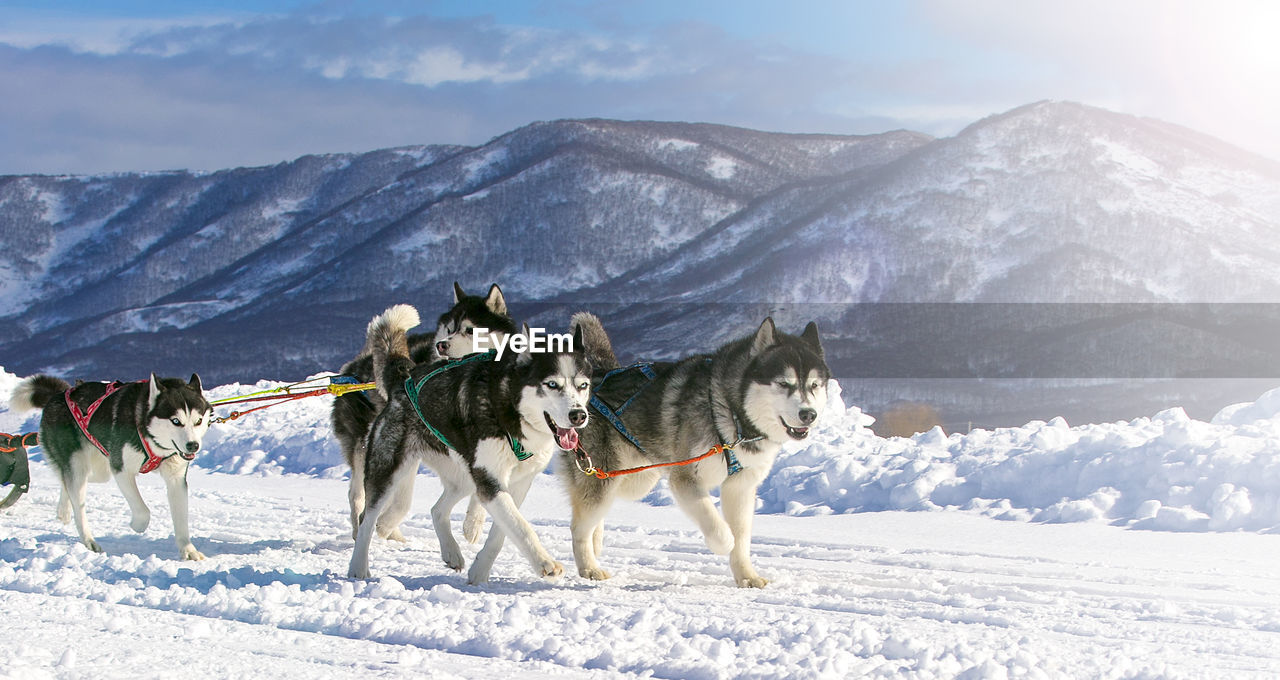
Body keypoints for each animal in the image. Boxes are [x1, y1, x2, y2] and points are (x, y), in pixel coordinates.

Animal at [10, 371, 212, 558]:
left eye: (198, 421)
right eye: (176, 421)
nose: (193, 445)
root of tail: (58, 396)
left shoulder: (176, 479)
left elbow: (181, 520)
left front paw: (188, 550)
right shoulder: (121, 470)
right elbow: (143, 511)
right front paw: (137, 525)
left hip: (99, 470)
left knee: (66, 481)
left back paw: (63, 510)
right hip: (81, 465)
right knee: (77, 500)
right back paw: (89, 541)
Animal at [332, 284, 517, 540]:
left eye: (470, 330)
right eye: (449, 329)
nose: (442, 345)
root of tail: (354, 364)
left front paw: (474, 521)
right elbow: (401, 502)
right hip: (366, 444)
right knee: (360, 494)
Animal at [348, 306, 591, 583]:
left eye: (583, 385)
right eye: (552, 384)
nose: (578, 415)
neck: (509, 408)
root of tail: (405, 379)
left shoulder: (518, 483)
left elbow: (502, 532)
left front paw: (480, 572)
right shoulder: (490, 480)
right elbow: (521, 526)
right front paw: (545, 562)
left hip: (464, 475)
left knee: (437, 510)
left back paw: (451, 552)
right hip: (388, 470)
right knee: (366, 518)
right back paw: (358, 567)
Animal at [563, 316, 829, 589]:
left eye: (814, 385)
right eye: (784, 383)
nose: (808, 414)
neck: (729, 412)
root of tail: (594, 377)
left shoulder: (741, 486)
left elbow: (742, 536)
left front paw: (746, 576)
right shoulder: (686, 479)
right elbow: (722, 531)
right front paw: (725, 543)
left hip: (634, 478)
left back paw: (595, 544)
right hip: (609, 477)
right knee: (578, 526)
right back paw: (589, 567)